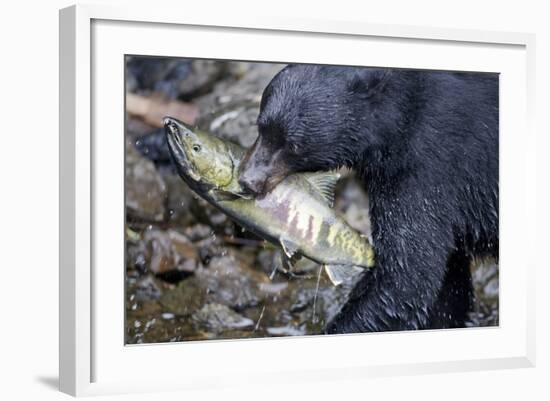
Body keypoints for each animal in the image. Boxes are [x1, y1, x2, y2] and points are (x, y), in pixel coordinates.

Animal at [239, 64, 498, 332]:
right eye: (260, 128)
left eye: (293, 145)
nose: (248, 180)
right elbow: (447, 284)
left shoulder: (426, 170)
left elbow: (405, 277)